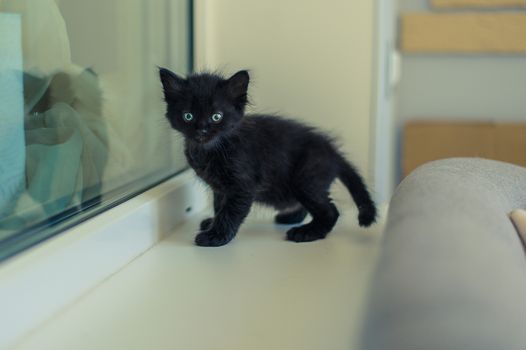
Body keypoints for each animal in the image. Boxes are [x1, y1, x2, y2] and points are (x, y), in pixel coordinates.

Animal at [159, 67, 378, 246]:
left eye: (217, 116)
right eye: (188, 116)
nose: (202, 130)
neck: (210, 150)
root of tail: (334, 153)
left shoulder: (242, 186)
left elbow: (230, 212)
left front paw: (215, 236)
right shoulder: (220, 188)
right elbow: (219, 206)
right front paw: (212, 223)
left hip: (306, 178)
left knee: (330, 211)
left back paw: (306, 233)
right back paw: (291, 218)